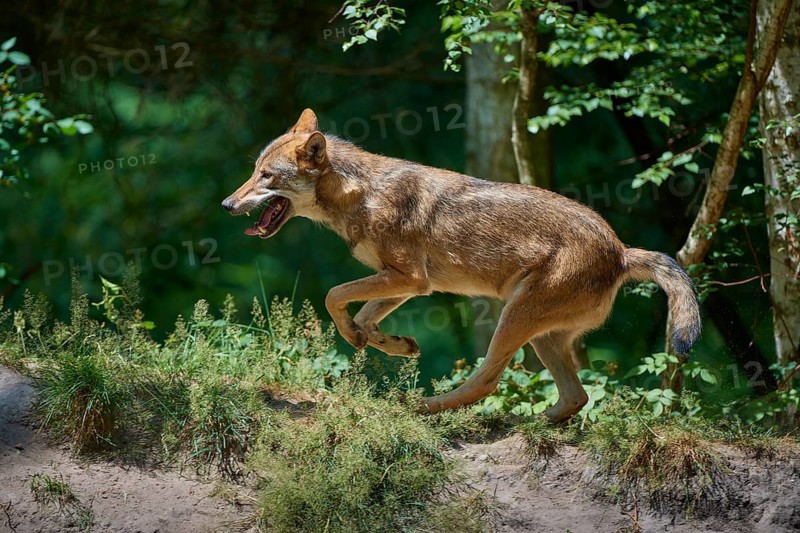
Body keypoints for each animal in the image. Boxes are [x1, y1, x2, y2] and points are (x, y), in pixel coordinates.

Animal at [222, 109, 701, 422]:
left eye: (267, 177)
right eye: (253, 171)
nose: (227, 204)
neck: (359, 194)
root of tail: (621, 250)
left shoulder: (410, 278)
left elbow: (332, 295)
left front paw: (362, 336)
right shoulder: (409, 282)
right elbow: (362, 314)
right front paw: (388, 342)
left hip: (514, 318)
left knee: (488, 382)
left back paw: (422, 407)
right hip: (541, 337)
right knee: (575, 398)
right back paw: (529, 425)